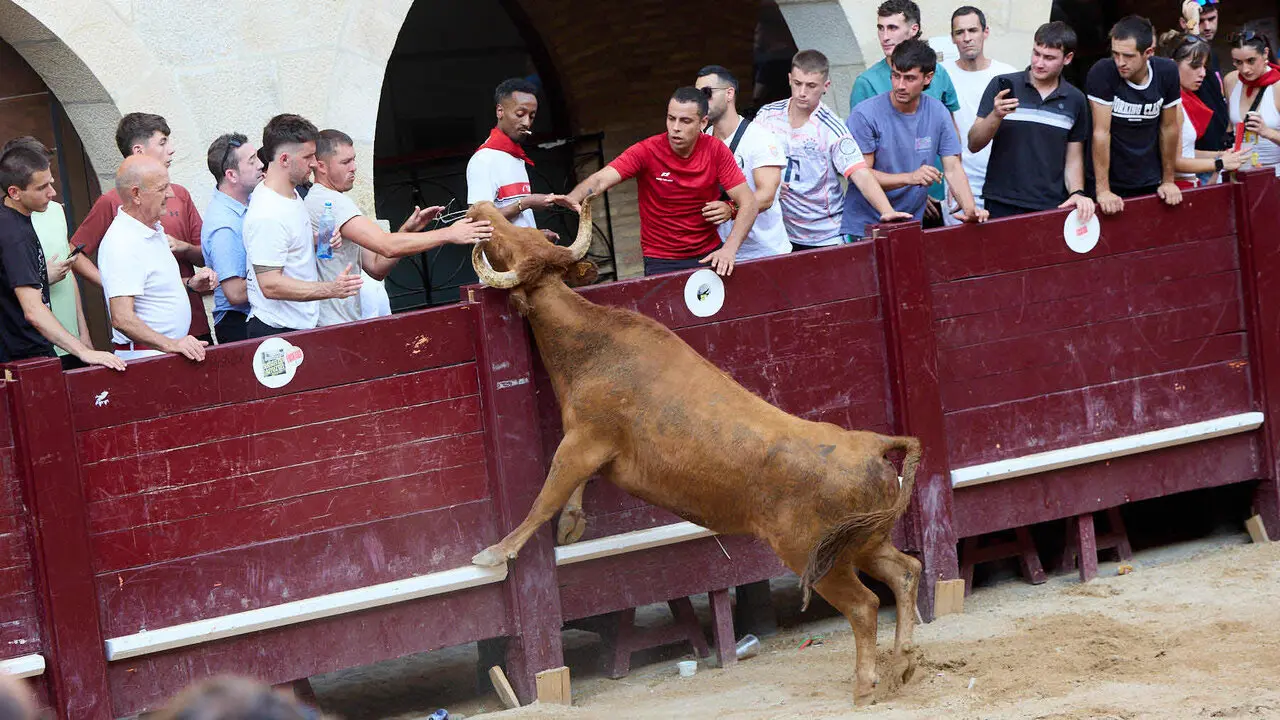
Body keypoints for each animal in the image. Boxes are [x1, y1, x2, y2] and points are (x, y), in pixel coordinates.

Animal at [467, 195, 923, 706]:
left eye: (506, 245)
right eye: (520, 235)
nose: (480, 208)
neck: (592, 343)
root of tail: (874, 445)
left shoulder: (584, 439)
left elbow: (544, 497)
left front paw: (495, 553)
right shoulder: (586, 446)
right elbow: (568, 493)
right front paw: (571, 526)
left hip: (816, 558)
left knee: (865, 606)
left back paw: (866, 686)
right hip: (864, 544)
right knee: (906, 571)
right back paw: (903, 664)